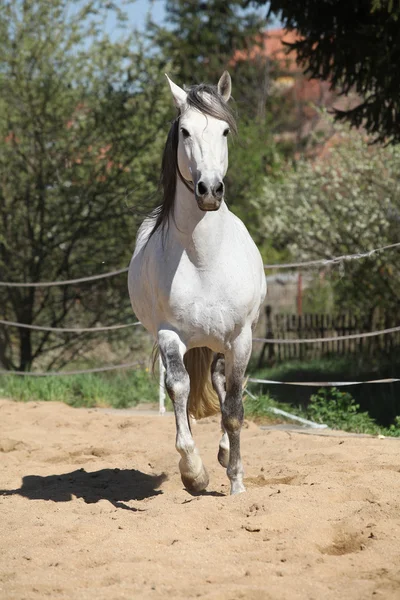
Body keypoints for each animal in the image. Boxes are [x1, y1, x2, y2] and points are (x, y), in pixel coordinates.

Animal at [128, 71, 266, 492]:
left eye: (224, 131)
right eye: (185, 131)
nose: (209, 190)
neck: (204, 259)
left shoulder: (240, 337)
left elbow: (234, 406)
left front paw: (236, 482)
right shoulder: (169, 334)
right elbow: (179, 388)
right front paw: (194, 473)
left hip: (224, 342)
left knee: (222, 386)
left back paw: (224, 453)